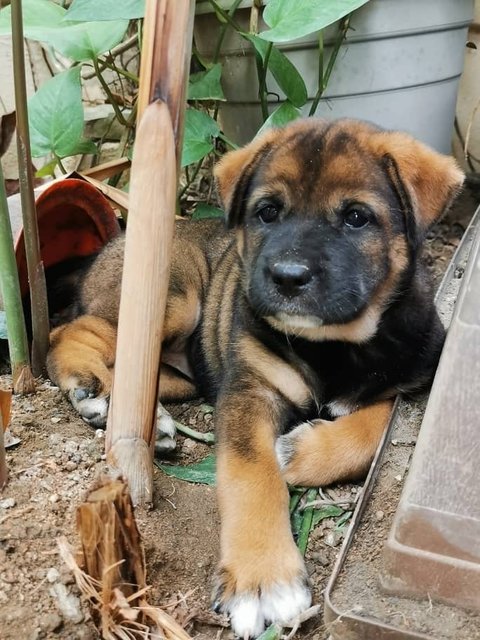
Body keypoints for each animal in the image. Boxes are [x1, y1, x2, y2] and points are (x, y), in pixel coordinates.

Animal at [47, 119, 464, 636]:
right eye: (267, 212)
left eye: (356, 217)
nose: (287, 277)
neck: (333, 346)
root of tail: (108, 247)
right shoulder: (249, 388)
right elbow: (251, 473)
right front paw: (262, 578)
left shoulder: (410, 380)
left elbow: (375, 420)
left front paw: (301, 453)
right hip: (171, 295)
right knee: (73, 332)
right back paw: (97, 391)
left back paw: (145, 417)